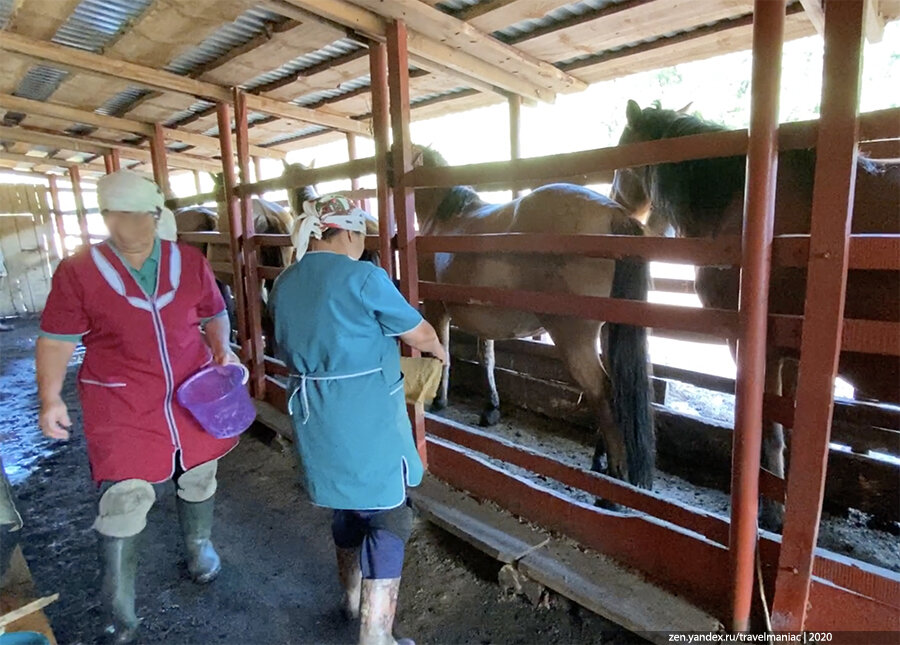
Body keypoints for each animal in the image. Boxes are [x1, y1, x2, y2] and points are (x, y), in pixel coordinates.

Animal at [410, 146, 652, 488]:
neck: (447, 218)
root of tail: (613, 213)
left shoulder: (436, 307)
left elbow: (443, 353)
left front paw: (439, 402)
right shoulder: (483, 316)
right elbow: (487, 358)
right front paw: (491, 409)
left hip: (573, 338)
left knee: (601, 390)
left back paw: (612, 477)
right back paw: (600, 460)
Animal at [612, 98, 900, 524]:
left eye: (622, 154)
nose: (613, 204)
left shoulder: (757, 348)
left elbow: (769, 431)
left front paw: (770, 512)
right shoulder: (795, 356)